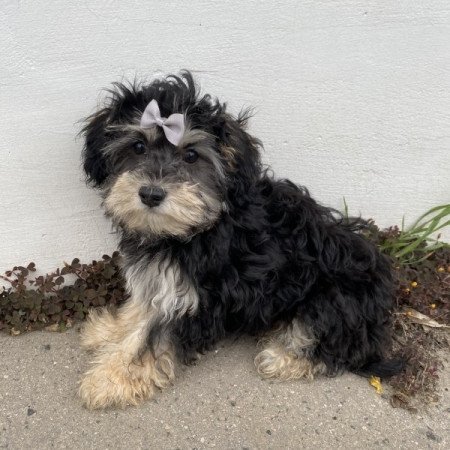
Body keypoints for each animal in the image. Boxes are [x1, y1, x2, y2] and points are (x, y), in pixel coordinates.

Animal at [78, 69, 400, 408]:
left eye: (191, 156)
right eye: (138, 147)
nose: (151, 194)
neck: (196, 228)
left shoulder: (195, 299)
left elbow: (150, 337)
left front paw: (109, 380)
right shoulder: (164, 280)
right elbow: (142, 309)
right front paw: (110, 330)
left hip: (331, 298)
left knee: (333, 345)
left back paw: (282, 358)